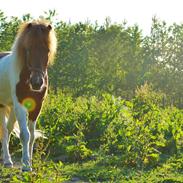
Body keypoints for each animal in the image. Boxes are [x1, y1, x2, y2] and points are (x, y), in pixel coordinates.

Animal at [0, 20, 56, 171]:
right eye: (28, 49)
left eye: (47, 51)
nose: (37, 83)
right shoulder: (20, 104)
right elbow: (24, 134)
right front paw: (25, 164)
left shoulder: (37, 106)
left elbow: (31, 135)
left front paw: (30, 161)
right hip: (2, 106)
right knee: (4, 131)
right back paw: (7, 160)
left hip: (11, 107)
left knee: (8, 128)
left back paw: (7, 160)